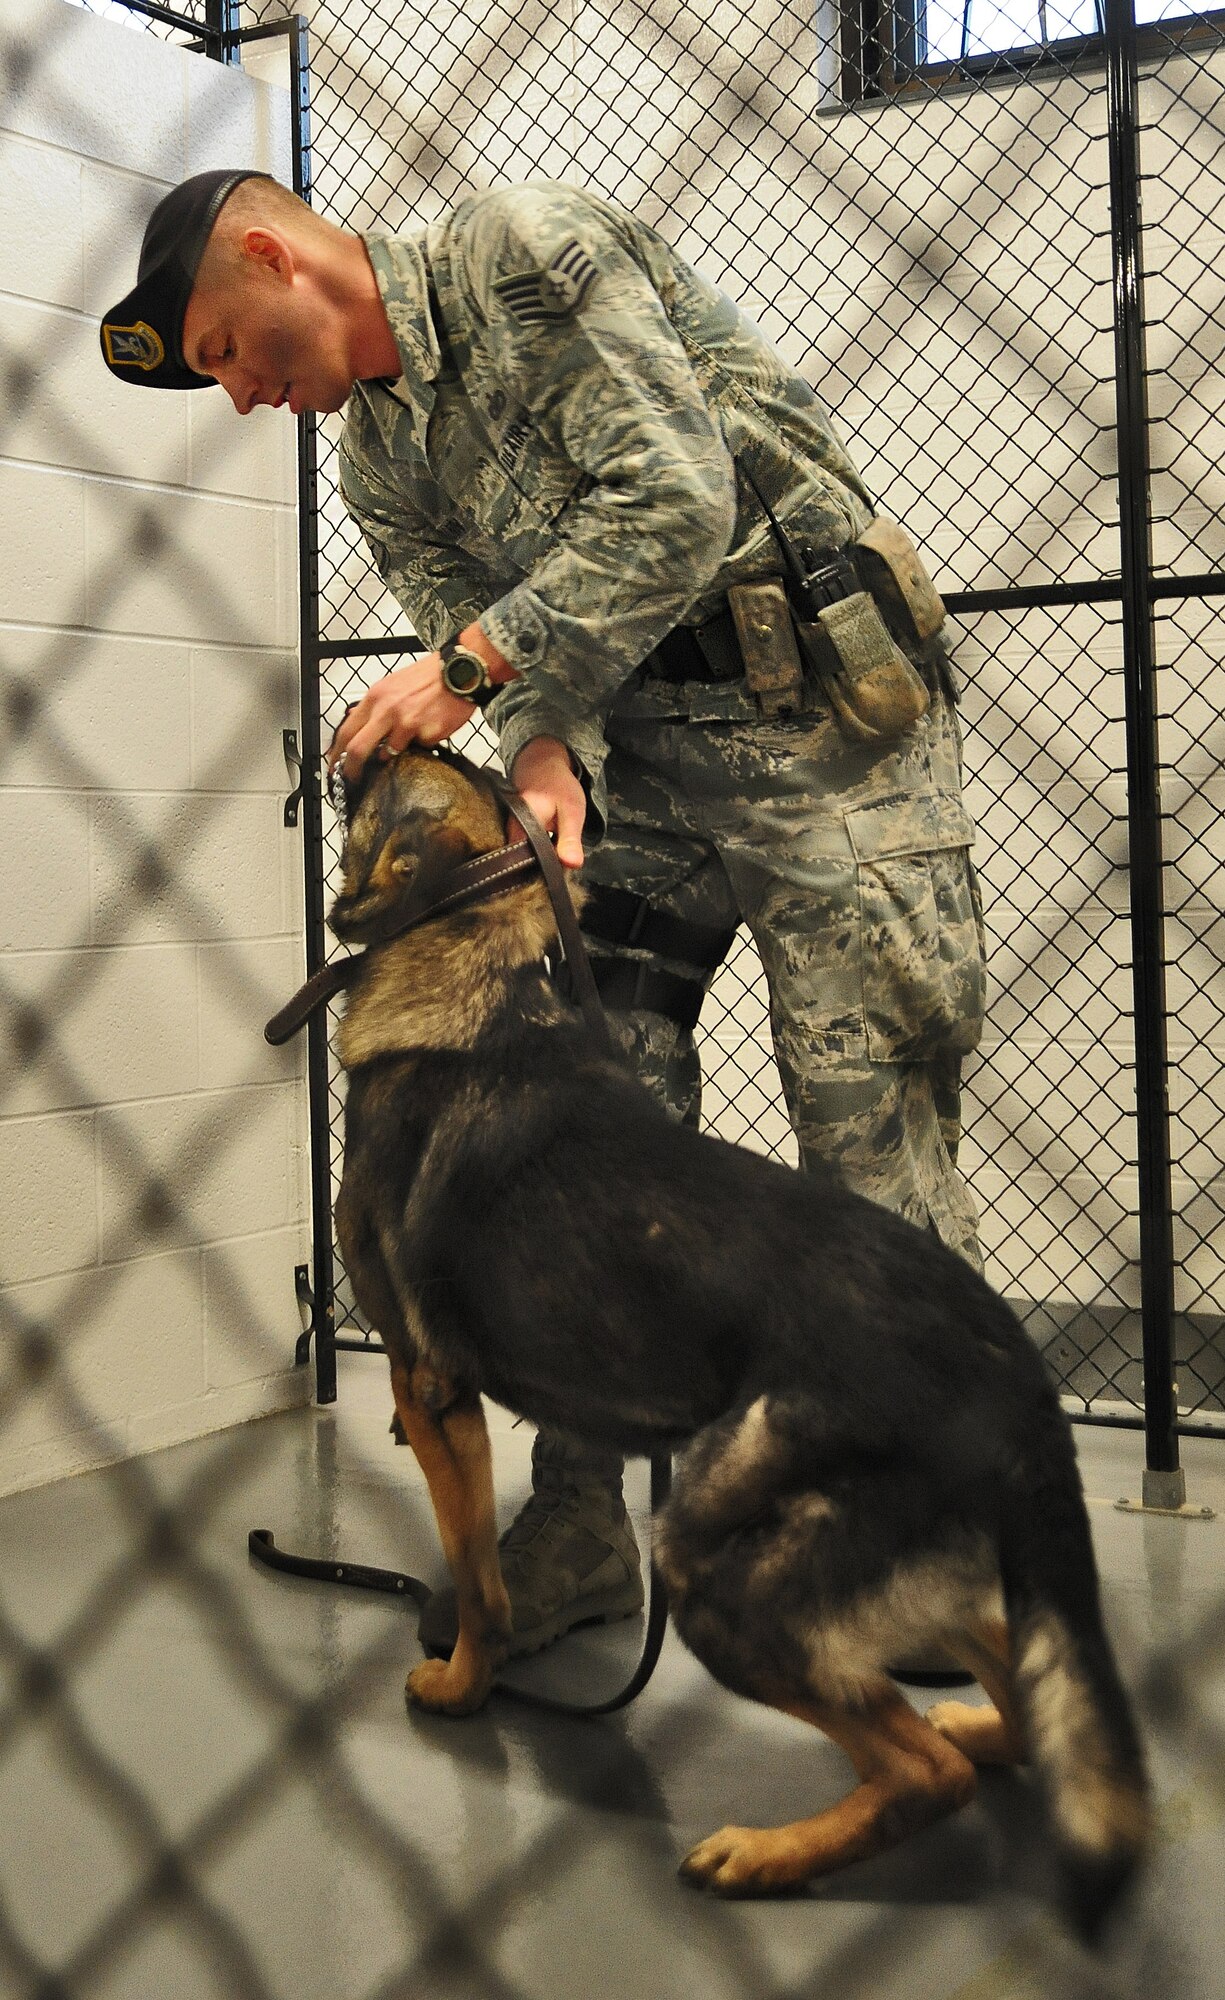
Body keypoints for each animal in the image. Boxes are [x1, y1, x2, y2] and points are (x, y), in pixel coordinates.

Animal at [326, 744, 1144, 1928]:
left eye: (405, 763)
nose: (363, 732)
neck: (475, 975)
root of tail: (1006, 1355)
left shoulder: (426, 1386)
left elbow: (476, 1578)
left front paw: (462, 1688)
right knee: (1001, 1671)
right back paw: (975, 1734)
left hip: (720, 1569)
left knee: (924, 1768)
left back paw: (765, 1855)